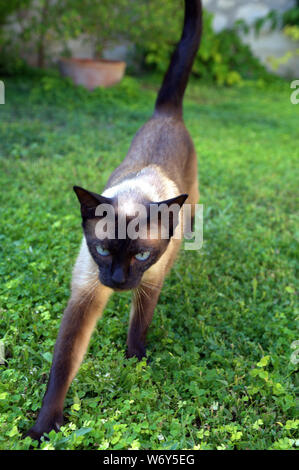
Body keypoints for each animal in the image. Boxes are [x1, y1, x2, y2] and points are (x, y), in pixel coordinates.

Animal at [27, 0, 203, 440]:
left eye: (140, 256)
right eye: (104, 250)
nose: (119, 282)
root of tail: (166, 113)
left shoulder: (150, 282)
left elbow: (138, 328)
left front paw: (136, 364)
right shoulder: (86, 295)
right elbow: (62, 364)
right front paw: (43, 429)